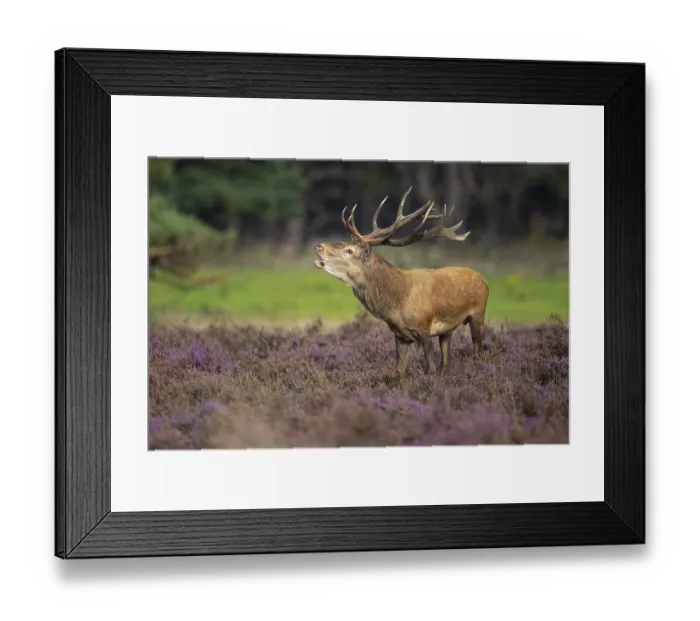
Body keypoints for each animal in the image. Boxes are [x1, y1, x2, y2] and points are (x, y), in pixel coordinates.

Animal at [313, 187, 489, 379]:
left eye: (349, 250)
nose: (318, 246)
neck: (396, 305)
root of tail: (483, 279)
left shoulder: (425, 329)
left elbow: (431, 370)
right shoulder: (400, 335)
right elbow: (398, 372)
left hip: (478, 314)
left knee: (478, 352)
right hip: (447, 331)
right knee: (446, 362)